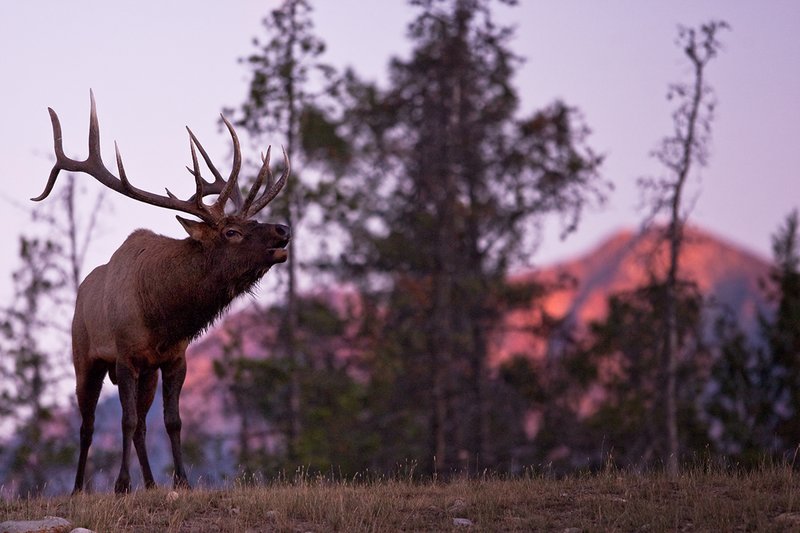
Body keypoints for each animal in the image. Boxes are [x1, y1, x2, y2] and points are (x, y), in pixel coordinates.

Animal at [32, 92, 291, 494]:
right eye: (231, 232)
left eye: (252, 221)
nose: (282, 230)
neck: (162, 316)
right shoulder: (125, 356)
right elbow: (123, 421)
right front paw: (121, 484)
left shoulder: (173, 358)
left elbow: (171, 421)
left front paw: (181, 481)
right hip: (84, 358)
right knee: (88, 425)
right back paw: (78, 488)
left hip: (146, 374)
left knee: (140, 425)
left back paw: (152, 484)